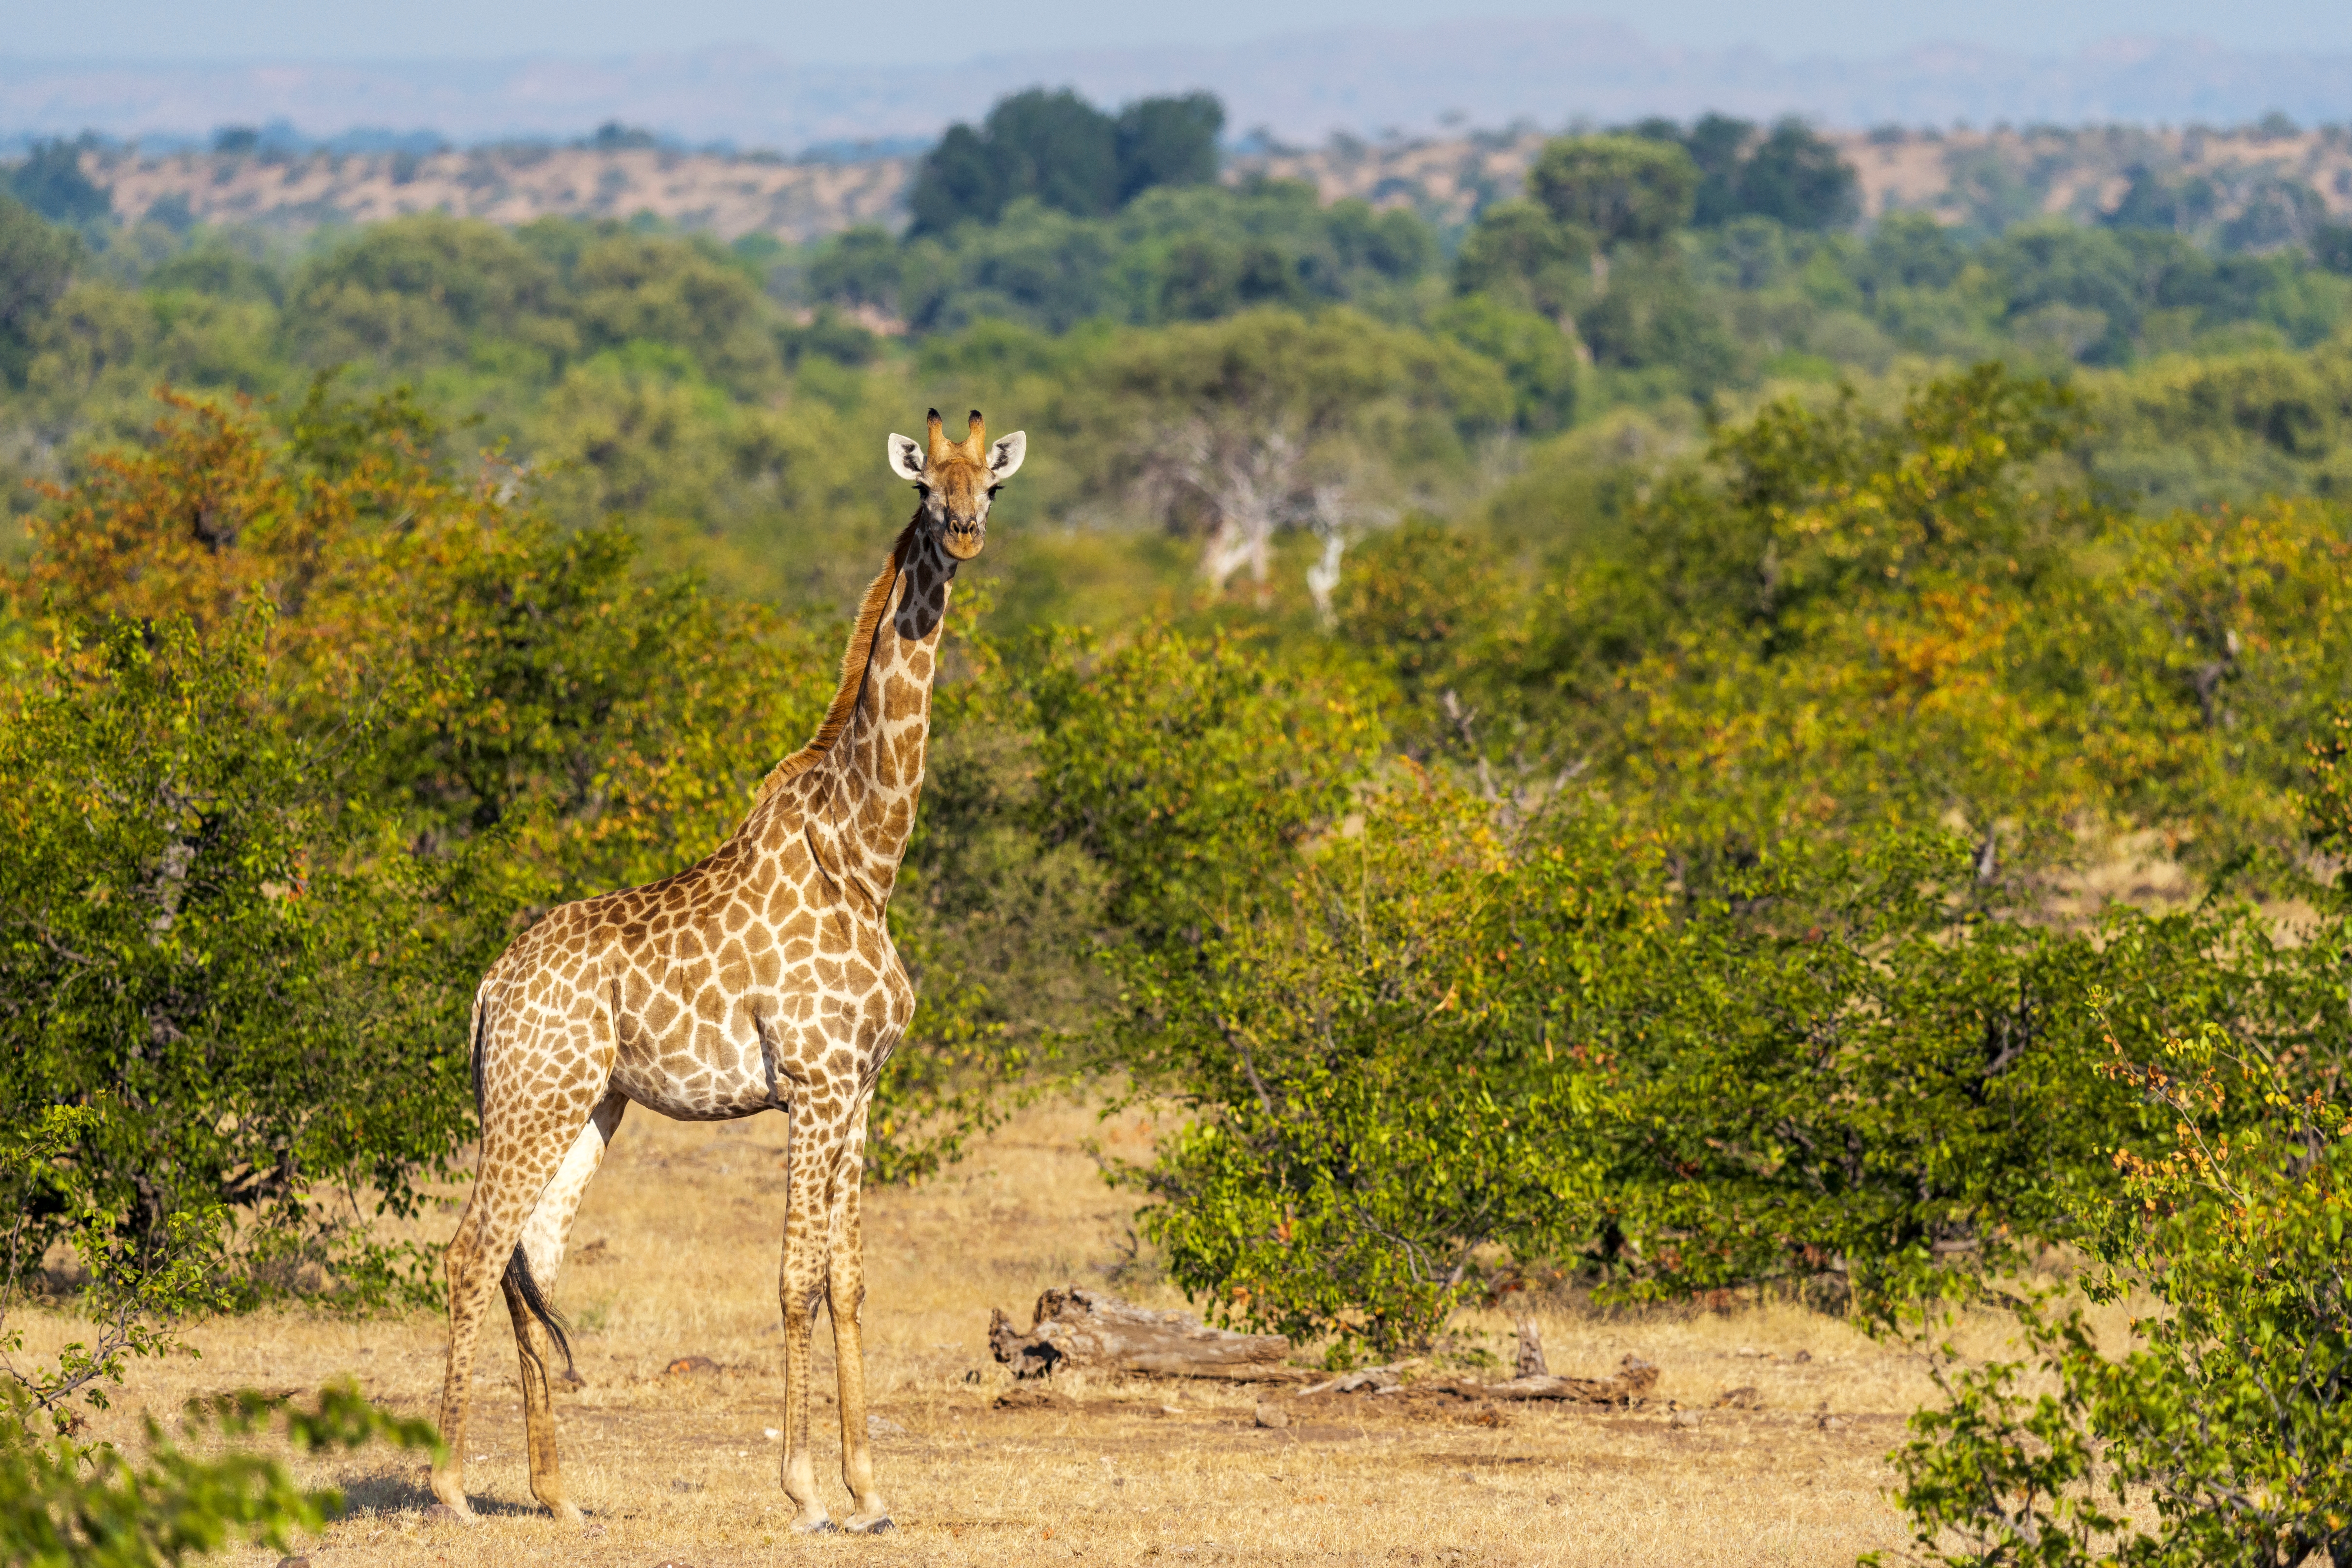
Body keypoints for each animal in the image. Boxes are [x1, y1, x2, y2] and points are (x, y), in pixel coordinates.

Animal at [427, 409, 1026, 1536]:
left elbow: (848, 1282)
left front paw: (871, 1491)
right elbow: (794, 1280)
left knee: (531, 1258)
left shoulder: (862, 1091)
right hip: (532, 1097)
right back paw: (448, 1486)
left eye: (993, 485)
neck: (867, 856)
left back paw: (558, 1494)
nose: (966, 532)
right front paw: (806, 1493)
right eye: (928, 489)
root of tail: (489, 988)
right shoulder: (814, 1085)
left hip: (587, 1107)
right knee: (471, 1248)